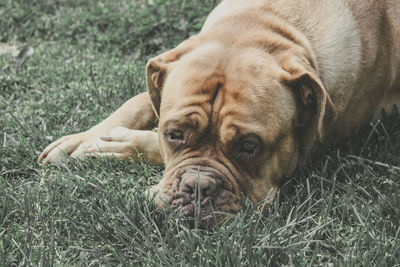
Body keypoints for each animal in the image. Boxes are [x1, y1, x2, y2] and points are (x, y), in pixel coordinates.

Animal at [38, 0, 400, 222]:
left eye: (250, 146)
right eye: (175, 134)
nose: (198, 186)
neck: (269, 25)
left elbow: (146, 141)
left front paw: (117, 145)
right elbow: (141, 99)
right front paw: (84, 138)